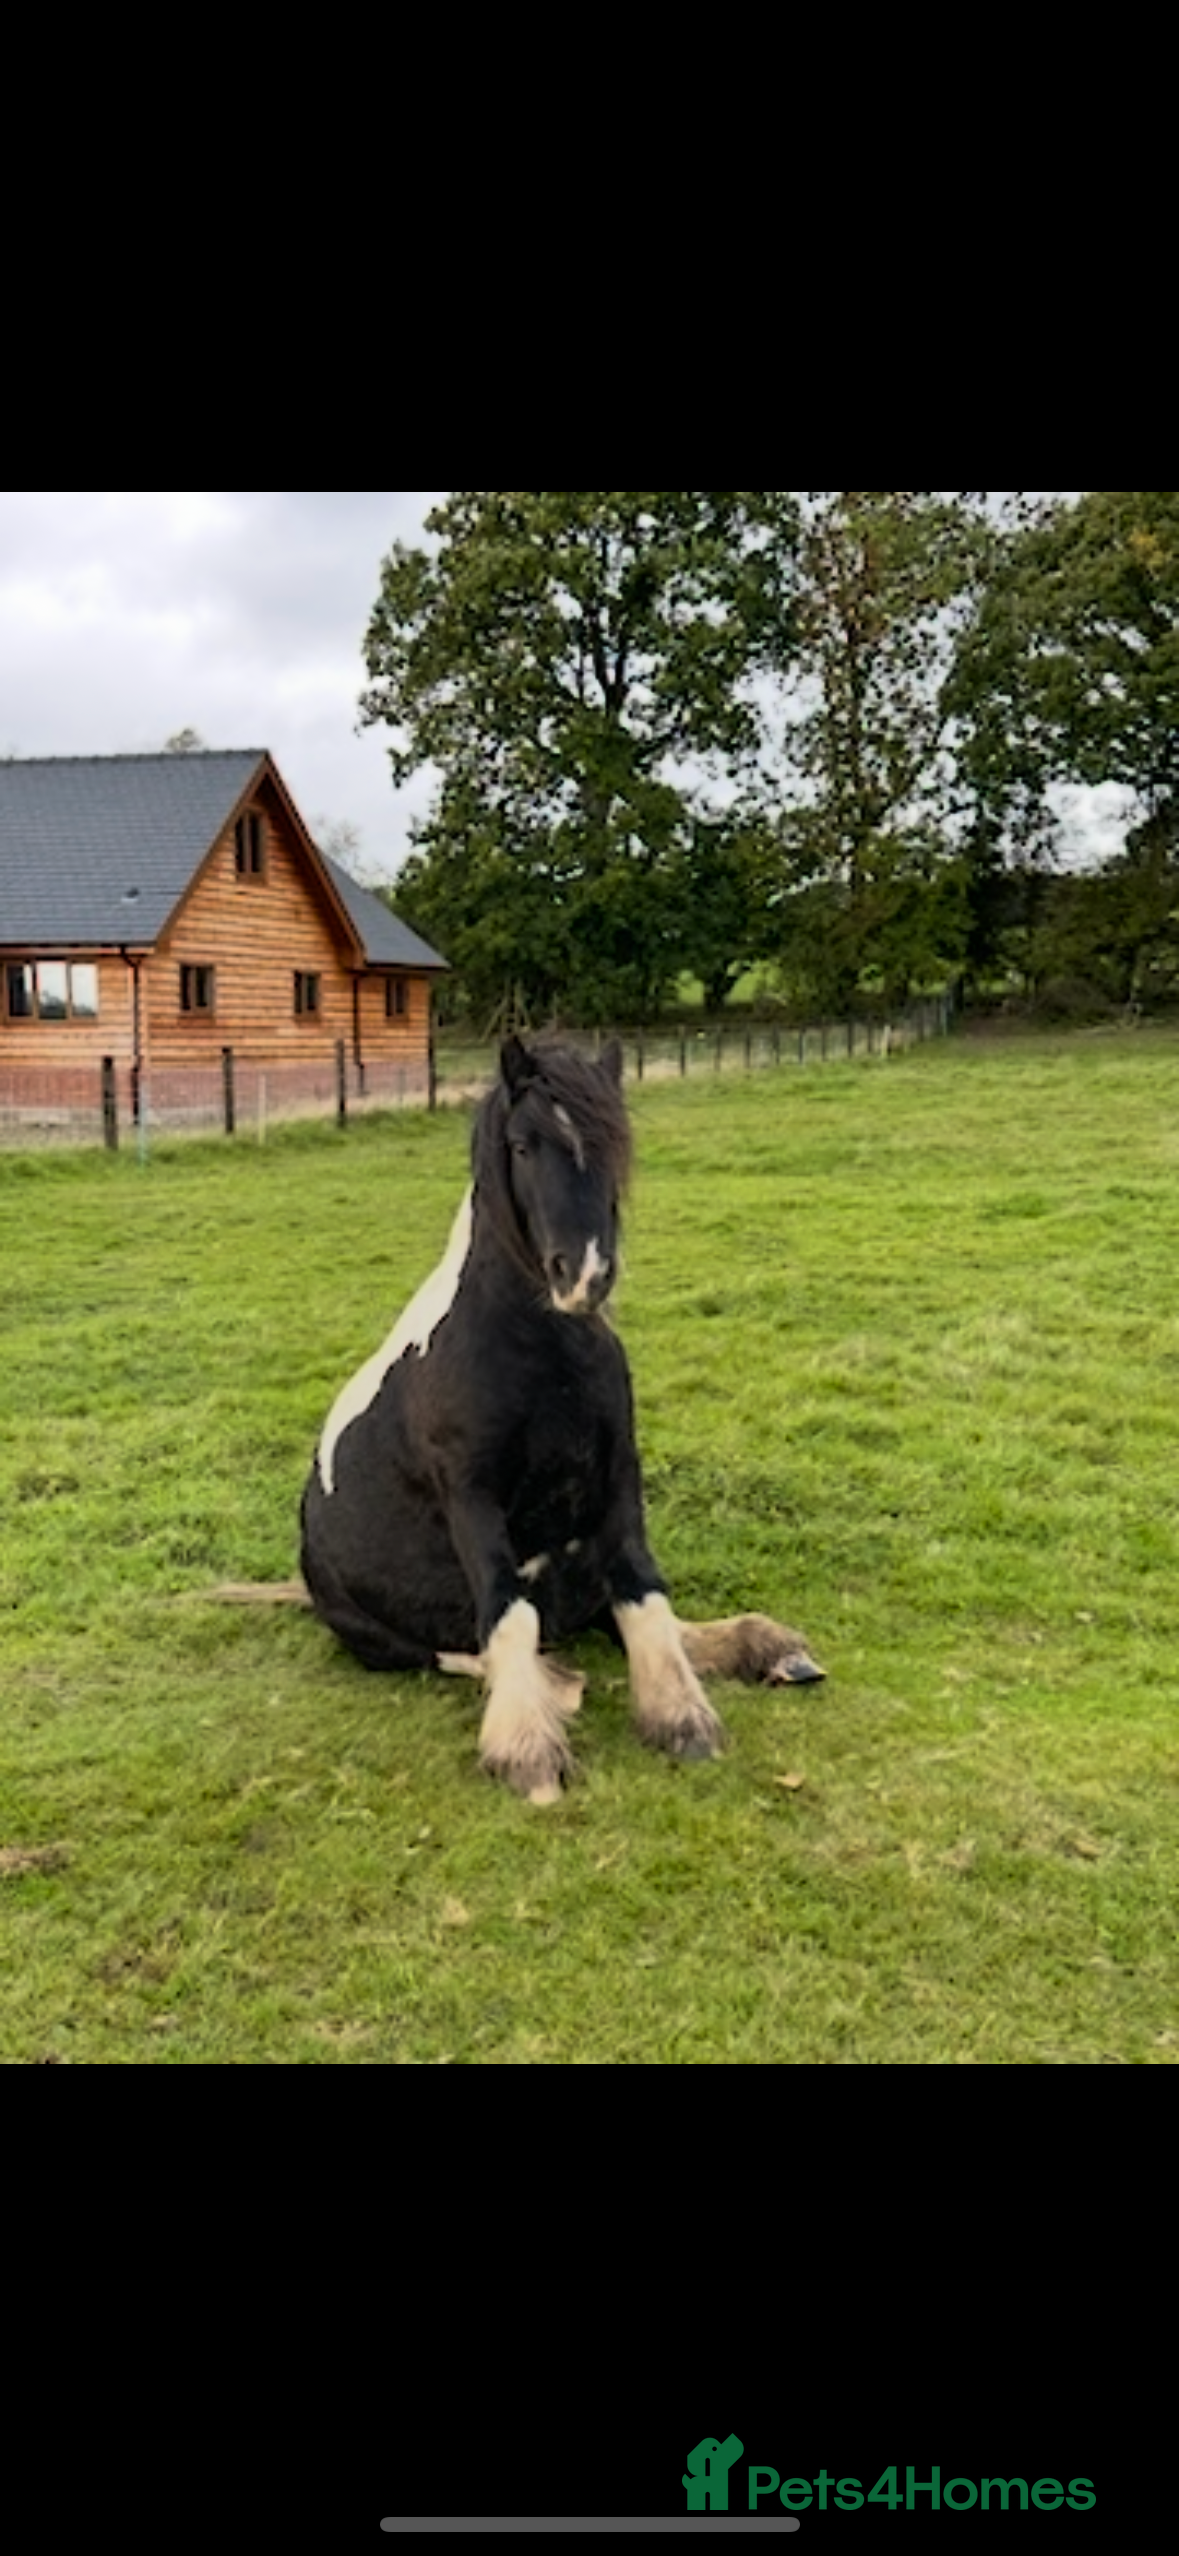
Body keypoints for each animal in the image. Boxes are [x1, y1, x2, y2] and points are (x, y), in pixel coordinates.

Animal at [290, 1034, 823, 1803]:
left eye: (613, 1143)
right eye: (521, 1144)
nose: (586, 1275)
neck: (540, 1348)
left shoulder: (618, 1470)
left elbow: (644, 1593)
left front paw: (680, 1717)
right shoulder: (472, 1495)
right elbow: (508, 1615)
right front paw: (527, 1750)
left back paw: (770, 1649)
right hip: (376, 1633)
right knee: (474, 1648)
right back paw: (556, 1687)